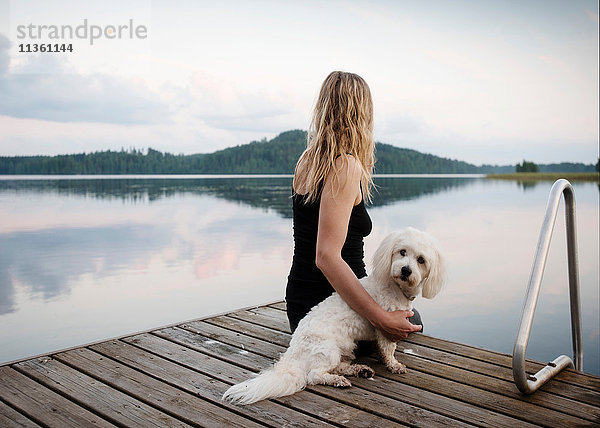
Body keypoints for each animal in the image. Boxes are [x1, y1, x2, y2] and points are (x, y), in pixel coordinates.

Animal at [223, 227, 442, 404]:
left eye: (421, 260)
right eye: (402, 252)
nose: (405, 270)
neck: (394, 286)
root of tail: (293, 353)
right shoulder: (386, 325)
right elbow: (388, 349)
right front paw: (394, 365)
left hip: (345, 348)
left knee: (337, 366)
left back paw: (358, 370)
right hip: (328, 349)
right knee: (314, 375)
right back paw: (338, 380)